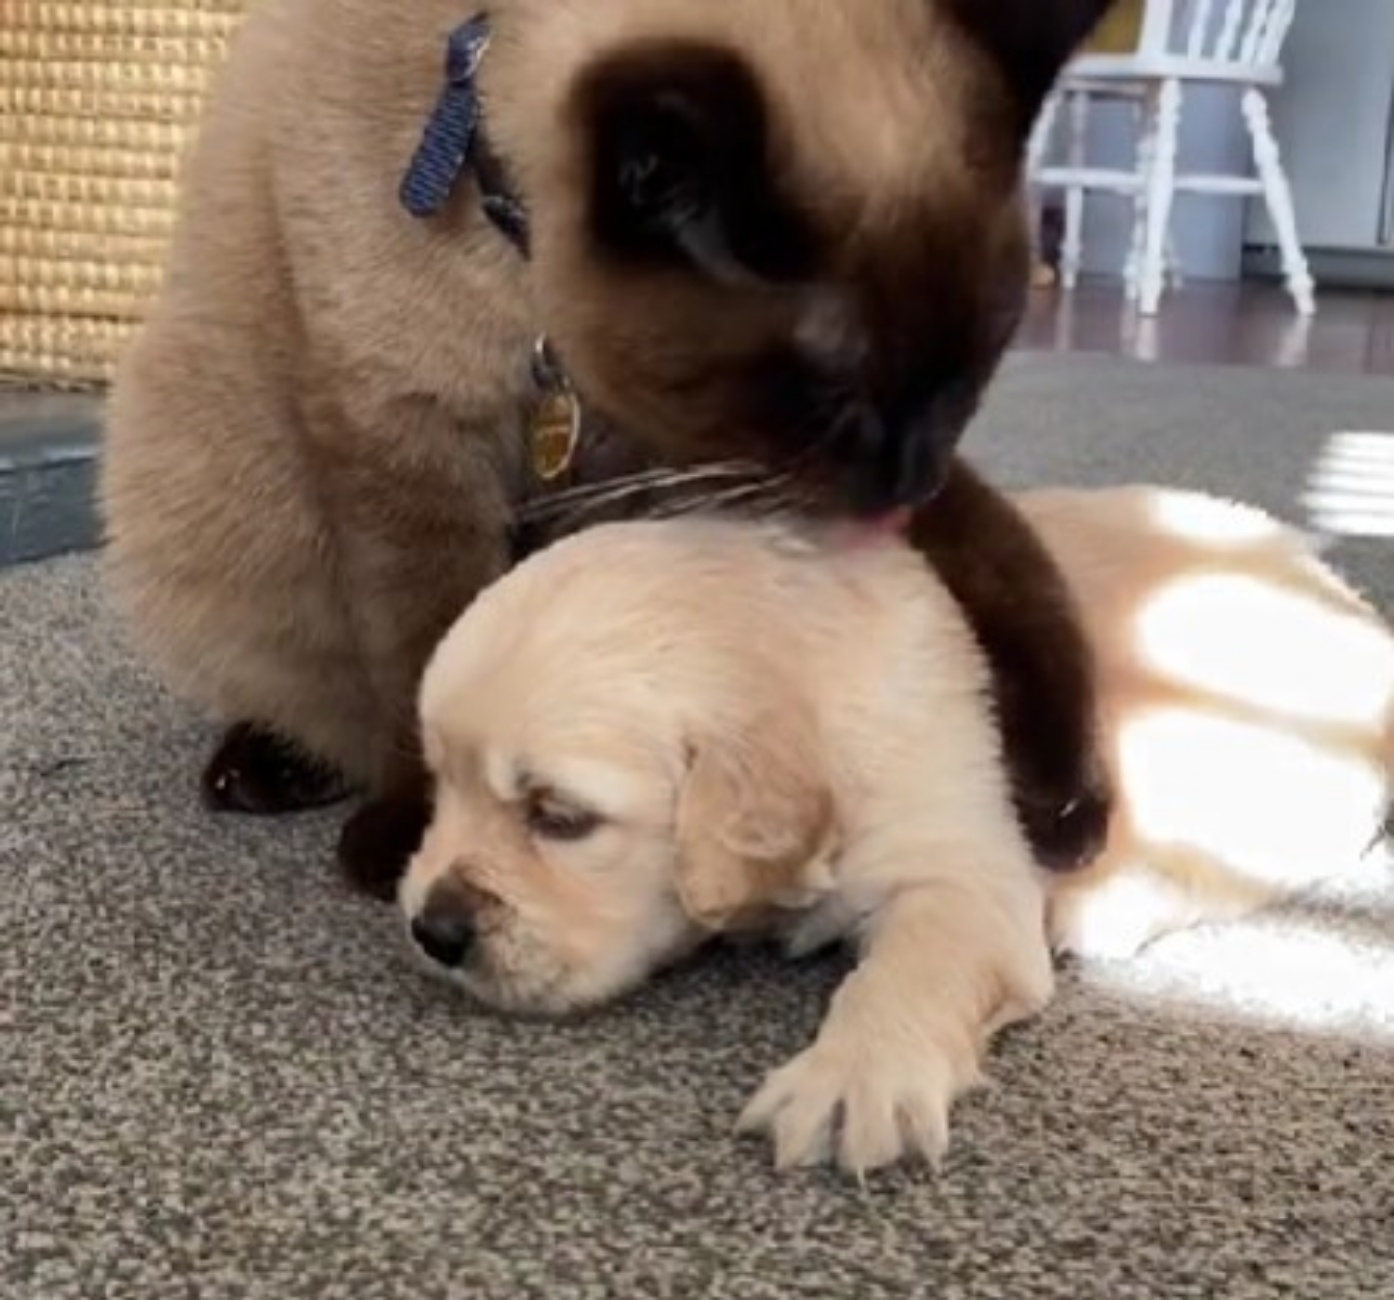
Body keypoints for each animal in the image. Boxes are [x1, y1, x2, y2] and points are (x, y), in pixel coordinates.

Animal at [395, 482, 1394, 1170]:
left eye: (560, 817)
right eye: (437, 783)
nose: (432, 932)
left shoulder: (963, 868)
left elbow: (914, 968)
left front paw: (853, 1081)